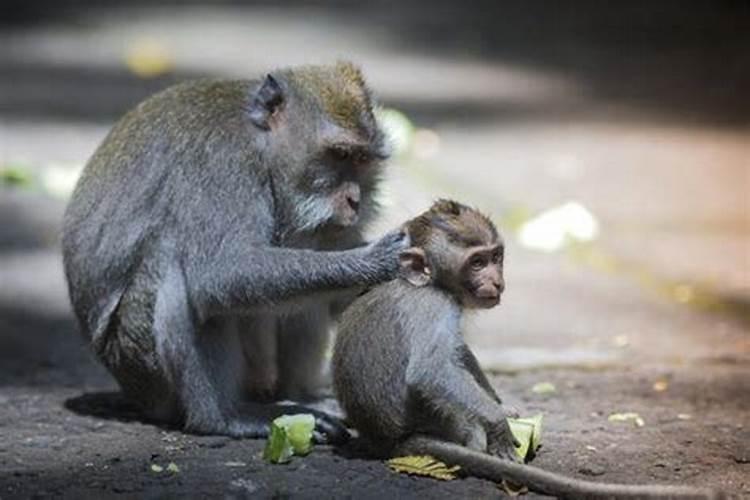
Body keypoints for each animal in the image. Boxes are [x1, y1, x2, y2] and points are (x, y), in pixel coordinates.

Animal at [61, 61, 408, 442]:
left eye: (362, 159)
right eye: (340, 154)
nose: (355, 201)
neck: (261, 143)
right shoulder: (223, 163)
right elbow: (219, 275)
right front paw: (375, 260)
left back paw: (298, 397)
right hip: (142, 367)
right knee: (177, 269)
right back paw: (225, 419)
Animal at [334, 200, 724, 500]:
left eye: (496, 257)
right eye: (477, 263)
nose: (496, 281)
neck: (429, 283)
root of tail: (386, 440)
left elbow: (459, 352)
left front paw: (500, 404)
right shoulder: (434, 306)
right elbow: (431, 370)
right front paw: (497, 423)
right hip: (439, 420)